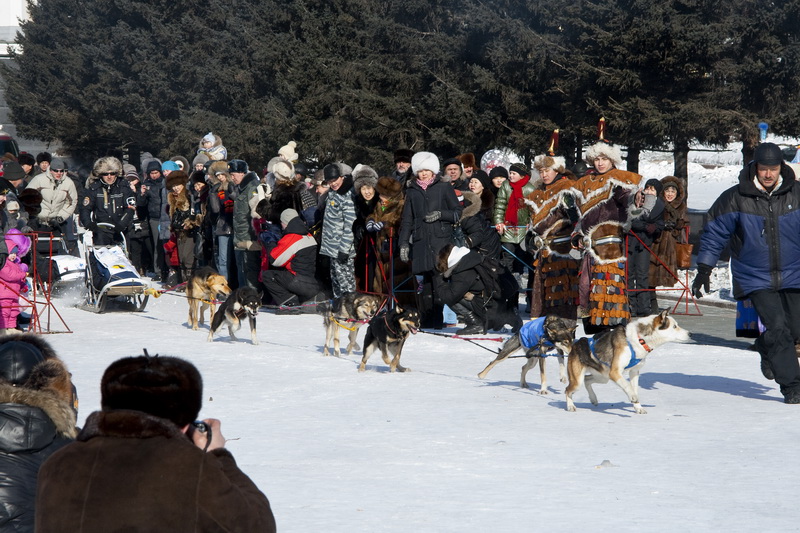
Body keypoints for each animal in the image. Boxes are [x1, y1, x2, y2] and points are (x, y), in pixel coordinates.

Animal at [564, 310, 692, 414]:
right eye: (674, 326)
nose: (690, 333)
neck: (639, 339)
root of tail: (575, 345)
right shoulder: (615, 372)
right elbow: (628, 386)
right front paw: (633, 398)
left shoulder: (634, 371)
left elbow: (634, 388)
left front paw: (638, 407)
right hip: (580, 380)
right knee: (568, 390)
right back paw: (571, 406)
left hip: (603, 377)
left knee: (587, 380)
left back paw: (593, 398)